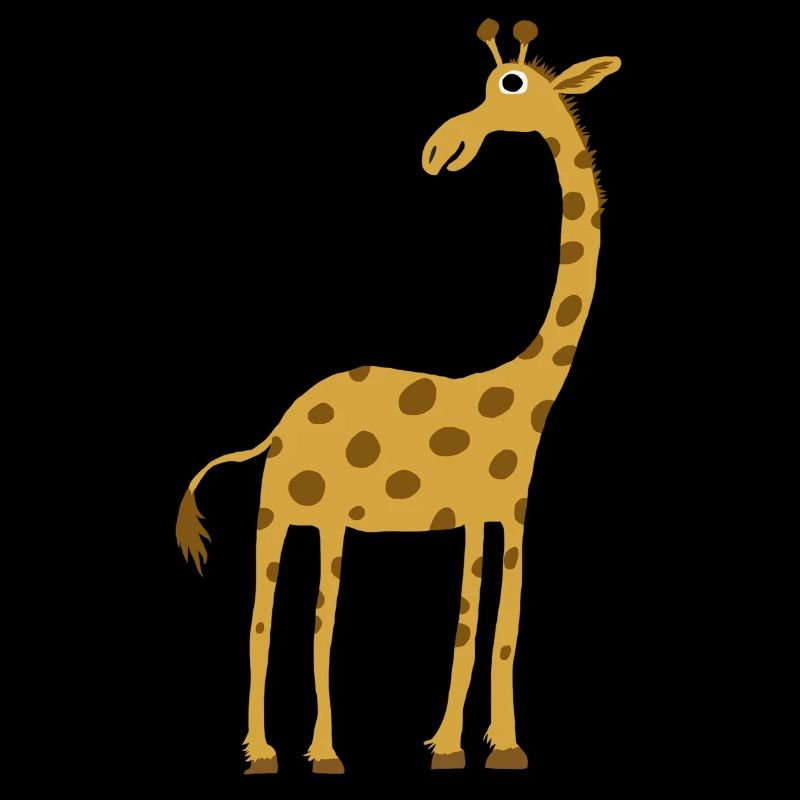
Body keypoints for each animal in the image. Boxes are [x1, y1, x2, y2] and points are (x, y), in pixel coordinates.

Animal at [176, 17, 621, 775]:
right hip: (291, 515)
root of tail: (276, 429)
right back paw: (284, 753)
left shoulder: (500, 513)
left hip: (311, 520)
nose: (439, 152)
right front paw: (465, 748)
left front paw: (483, 746)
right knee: (277, 623)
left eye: (510, 82)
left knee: (298, 621)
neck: (523, 390)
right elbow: (480, 627)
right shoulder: (485, 510)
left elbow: (491, 626)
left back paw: (300, 750)